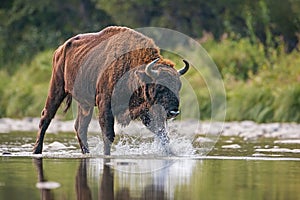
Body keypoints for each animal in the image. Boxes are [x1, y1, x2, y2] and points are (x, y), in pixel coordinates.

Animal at [32, 26, 188, 155]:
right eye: (160, 87)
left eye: (178, 86)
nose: (174, 111)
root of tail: (60, 49)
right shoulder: (105, 105)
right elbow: (108, 134)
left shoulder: (147, 110)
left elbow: (162, 133)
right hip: (57, 87)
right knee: (46, 117)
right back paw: (36, 151)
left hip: (85, 104)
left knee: (80, 127)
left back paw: (86, 152)